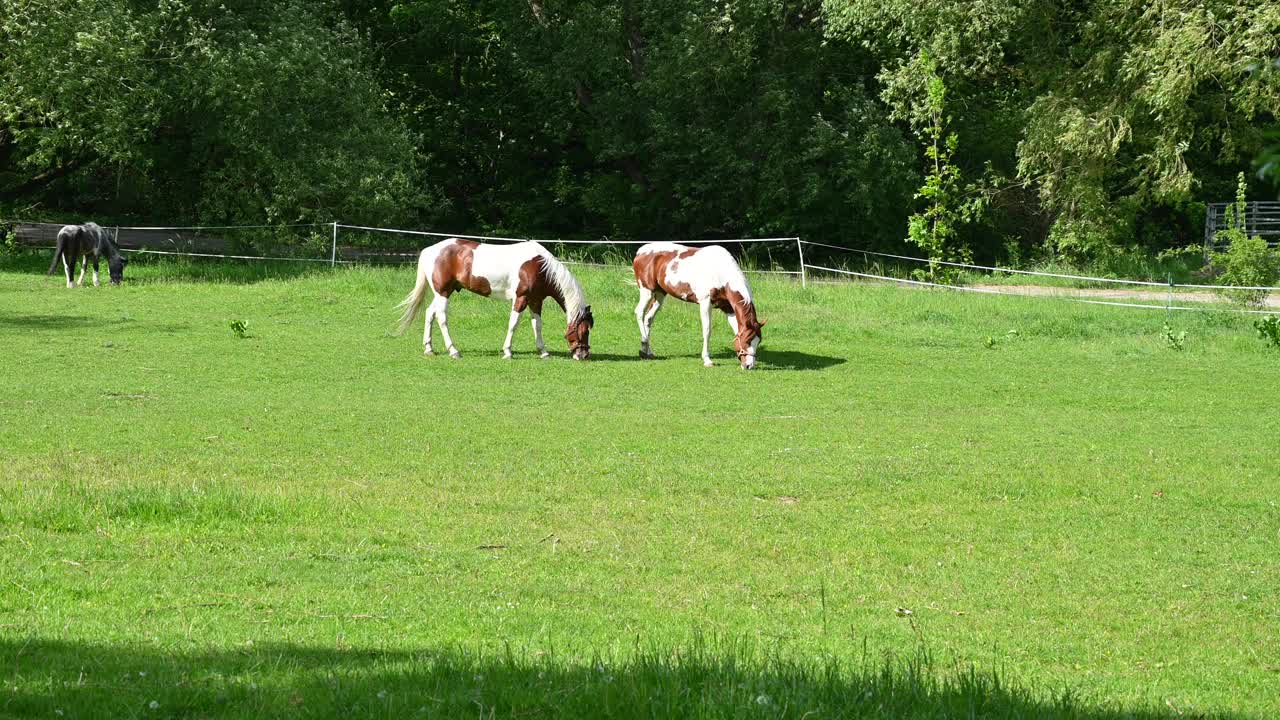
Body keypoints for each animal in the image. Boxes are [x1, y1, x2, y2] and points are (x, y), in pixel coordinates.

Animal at [394, 238, 593, 358]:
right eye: (584, 331)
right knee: (442, 318)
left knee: (430, 313)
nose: (583, 356)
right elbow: (513, 324)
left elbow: (537, 325)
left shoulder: (536, 301)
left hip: (443, 292)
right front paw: (507, 352)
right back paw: (454, 351)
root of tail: (430, 250)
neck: (539, 267)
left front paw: (543, 352)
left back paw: (429, 349)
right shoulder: (521, 299)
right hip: (442, 293)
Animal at [634, 242, 762, 366]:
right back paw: (644, 344)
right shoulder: (705, 303)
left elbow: (736, 330)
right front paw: (707, 360)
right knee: (639, 312)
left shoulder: (729, 308)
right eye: (747, 341)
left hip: (660, 294)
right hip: (647, 291)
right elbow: (707, 330)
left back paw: (647, 352)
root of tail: (640, 252)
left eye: (758, 341)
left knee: (648, 319)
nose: (749, 365)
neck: (721, 272)